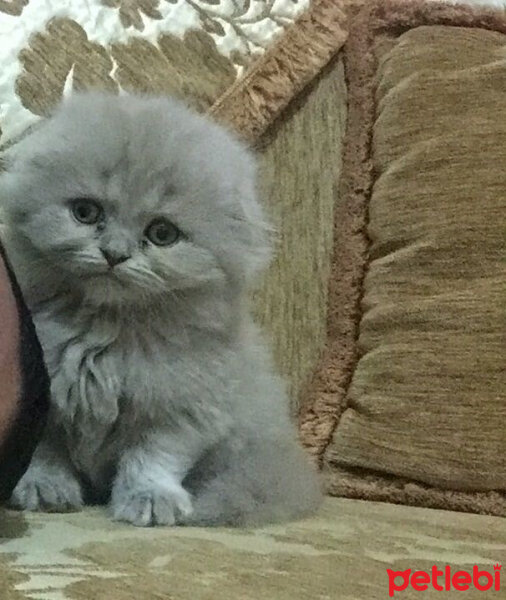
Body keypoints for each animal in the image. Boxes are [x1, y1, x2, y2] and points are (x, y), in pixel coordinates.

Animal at [0, 92, 322, 524]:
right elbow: (44, 451)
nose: (114, 254)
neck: (105, 330)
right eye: (85, 212)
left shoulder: (183, 408)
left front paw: (151, 499)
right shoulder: (42, 402)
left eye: (162, 233)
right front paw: (43, 487)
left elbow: (152, 459)